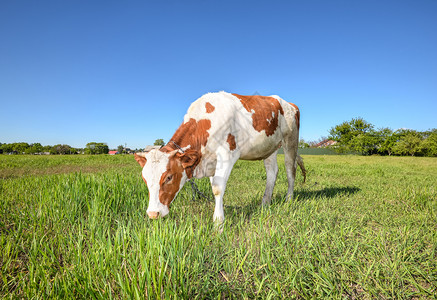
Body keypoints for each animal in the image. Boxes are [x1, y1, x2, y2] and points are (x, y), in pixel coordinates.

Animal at [135, 91, 302, 223]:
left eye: (169, 177)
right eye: (144, 179)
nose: (153, 213)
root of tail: (289, 104)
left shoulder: (227, 154)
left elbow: (217, 188)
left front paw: (218, 222)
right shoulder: (210, 161)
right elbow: (213, 186)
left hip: (290, 141)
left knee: (290, 170)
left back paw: (288, 199)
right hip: (269, 148)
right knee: (272, 173)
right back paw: (265, 204)